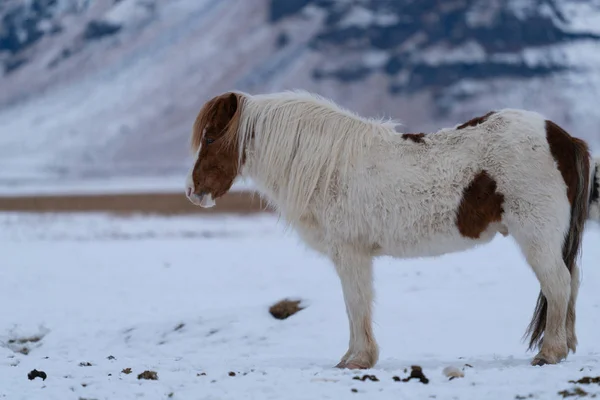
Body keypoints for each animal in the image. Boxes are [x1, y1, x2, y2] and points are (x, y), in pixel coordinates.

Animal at [185, 90, 596, 368]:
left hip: (537, 236)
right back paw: (567, 345)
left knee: (558, 284)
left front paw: (356, 359)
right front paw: (356, 356)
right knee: (572, 281)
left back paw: (550, 352)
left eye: (210, 138)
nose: (193, 192)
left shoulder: (350, 253)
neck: (328, 166)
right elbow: (358, 304)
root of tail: (563, 138)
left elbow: (355, 303)